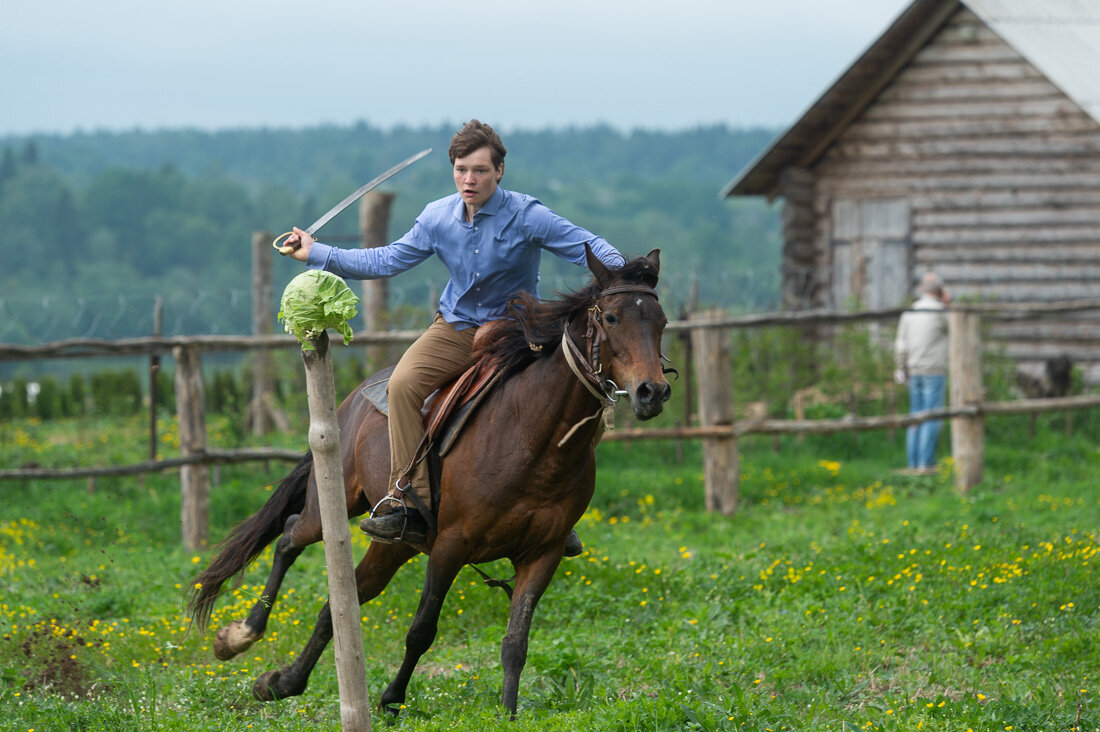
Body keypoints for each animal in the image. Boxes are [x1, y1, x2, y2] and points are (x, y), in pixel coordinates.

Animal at [187, 248, 668, 717]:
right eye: (611, 318)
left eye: (661, 322)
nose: (653, 392)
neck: (531, 435)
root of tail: (351, 402)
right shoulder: (450, 545)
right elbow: (422, 630)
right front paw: (391, 698)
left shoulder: (542, 554)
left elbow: (515, 642)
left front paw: (507, 713)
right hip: (335, 506)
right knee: (289, 536)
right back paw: (241, 636)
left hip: (395, 543)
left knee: (339, 603)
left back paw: (281, 682)